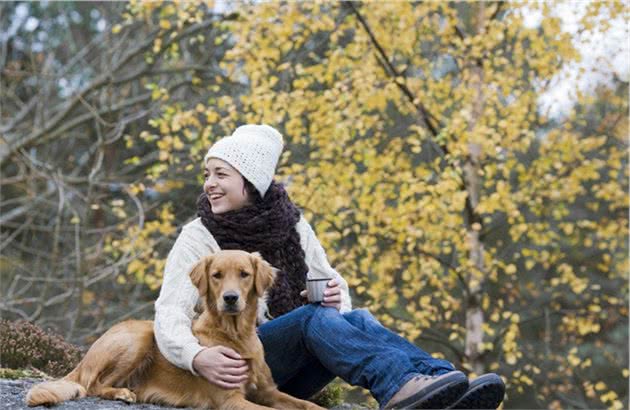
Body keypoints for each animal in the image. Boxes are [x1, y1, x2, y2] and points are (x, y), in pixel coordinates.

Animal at [25, 250, 326, 410]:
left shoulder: (267, 391)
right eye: (217, 275)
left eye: (244, 274)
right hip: (140, 336)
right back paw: (121, 393)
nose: (230, 298)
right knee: (92, 384)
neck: (235, 335)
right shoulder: (230, 400)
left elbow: (308, 405)